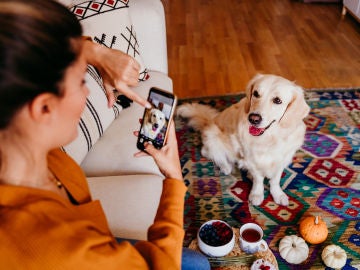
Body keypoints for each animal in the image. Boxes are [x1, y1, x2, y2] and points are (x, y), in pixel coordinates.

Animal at [177, 73, 310, 206]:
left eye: (277, 100)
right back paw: (225, 167)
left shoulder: (282, 158)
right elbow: (258, 179)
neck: (269, 138)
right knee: (208, 153)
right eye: (256, 93)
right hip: (213, 136)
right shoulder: (251, 159)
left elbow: (275, 180)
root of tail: (209, 121)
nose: (253, 118)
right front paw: (257, 194)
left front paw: (277, 194)